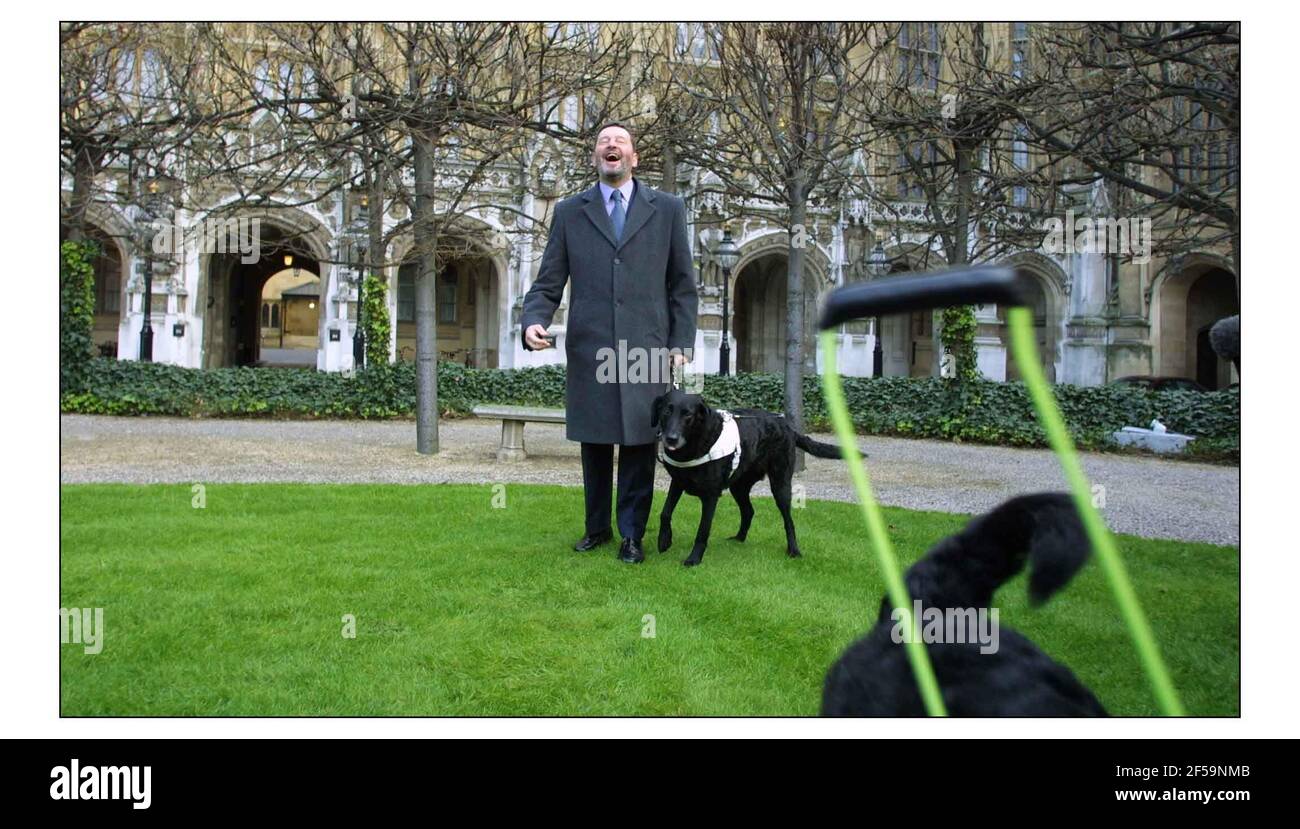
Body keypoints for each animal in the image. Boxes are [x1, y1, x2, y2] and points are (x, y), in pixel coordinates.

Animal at [655, 389, 847, 566]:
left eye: (688, 414)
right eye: (666, 411)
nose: (671, 439)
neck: (694, 446)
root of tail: (787, 426)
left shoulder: (711, 496)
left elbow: (703, 530)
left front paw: (694, 559)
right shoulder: (677, 482)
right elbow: (665, 512)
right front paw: (664, 540)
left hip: (780, 484)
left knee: (788, 521)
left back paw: (794, 550)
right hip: (738, 486)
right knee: (749, 511)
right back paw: (739, 538)